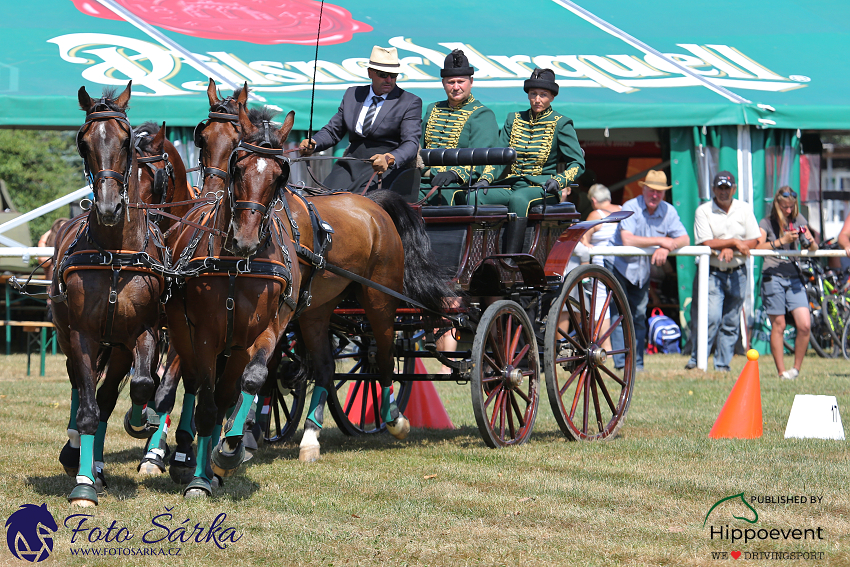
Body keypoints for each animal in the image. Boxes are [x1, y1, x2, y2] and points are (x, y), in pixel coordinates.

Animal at [51, 82, 169, 508]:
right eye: (83, 142)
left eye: (125, 141)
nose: (107, 207)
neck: (116, 253)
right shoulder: (82, 336)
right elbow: (86, 408)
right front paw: (83, 485)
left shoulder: (143, 331)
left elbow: (143, 384)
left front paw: (141, 421)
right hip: (70, 337)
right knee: (81, 390)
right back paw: (81, 457)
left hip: (117, 347)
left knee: (107, 397)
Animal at [164, 104, 304, 500]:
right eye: (238, 168)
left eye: (279, 175)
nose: (245, 239)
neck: (237, 265)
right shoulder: (206, 335)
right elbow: (207, 404)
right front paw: (198, 479)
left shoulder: (260, 332)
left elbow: (250, 382)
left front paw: (229, 450)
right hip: (183, 332)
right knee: (195, 385)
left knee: (228, 393)